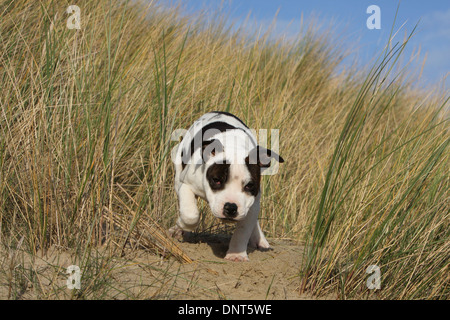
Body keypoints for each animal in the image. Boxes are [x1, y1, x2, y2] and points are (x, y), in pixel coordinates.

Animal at [171, 111, 284, 262]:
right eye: (216, 180)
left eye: (249, 185)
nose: (231, 207)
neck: (234, 148)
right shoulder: (186, 184)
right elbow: (190, 214)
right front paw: (181, 226)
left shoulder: (251, 203)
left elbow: (243, 230)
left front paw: (236, 254)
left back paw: (260, 240)